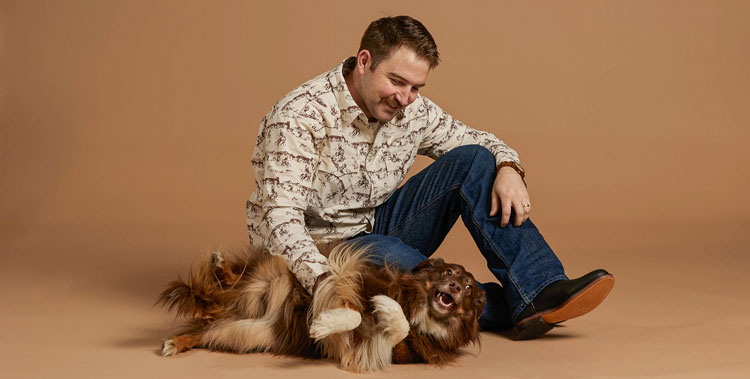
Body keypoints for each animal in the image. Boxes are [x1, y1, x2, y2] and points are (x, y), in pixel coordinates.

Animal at [159, 243, 488, 374]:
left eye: (469, 289)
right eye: (448, 273)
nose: (455, 288)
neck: (421, 310)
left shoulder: (379, 350)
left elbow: (397, 328)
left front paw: (384, 310)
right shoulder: (351, 277)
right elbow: (353, 310)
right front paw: (326, 322)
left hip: (246, 333)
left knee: (206, 329)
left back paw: (178, 341)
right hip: (266, 281)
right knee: (228, 287)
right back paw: (221, 268)